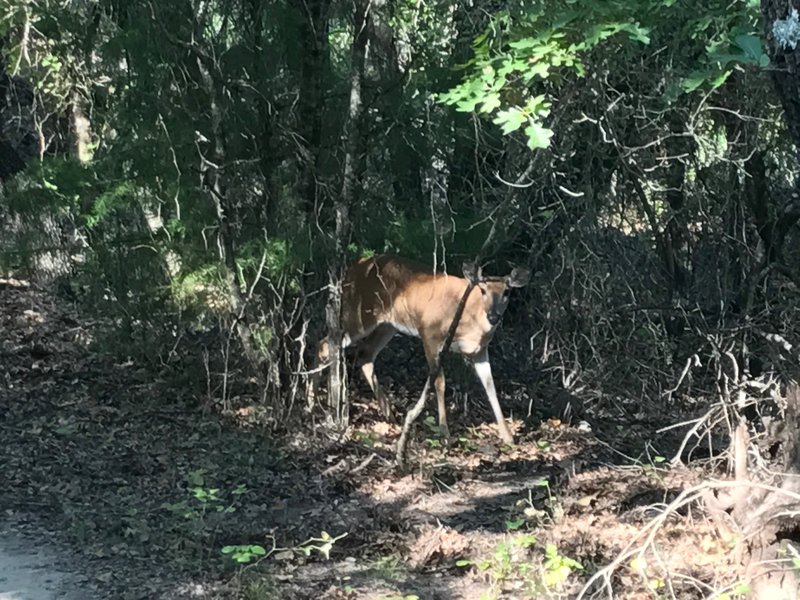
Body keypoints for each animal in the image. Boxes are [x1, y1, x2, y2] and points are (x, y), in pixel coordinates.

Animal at [310, 254, 528, 446]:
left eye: (507, 292)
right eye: (482, 290)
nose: (494, 316)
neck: (470, 319)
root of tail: (352, 269)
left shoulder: (479, 350)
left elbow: (491, 386)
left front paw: (508, 436)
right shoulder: (430, 333)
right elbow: (440, 382)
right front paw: (445, 433)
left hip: (387, 325)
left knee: (365, 353)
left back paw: (389, 413)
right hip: (358, 314)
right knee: (325, 344)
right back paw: (311, 404)